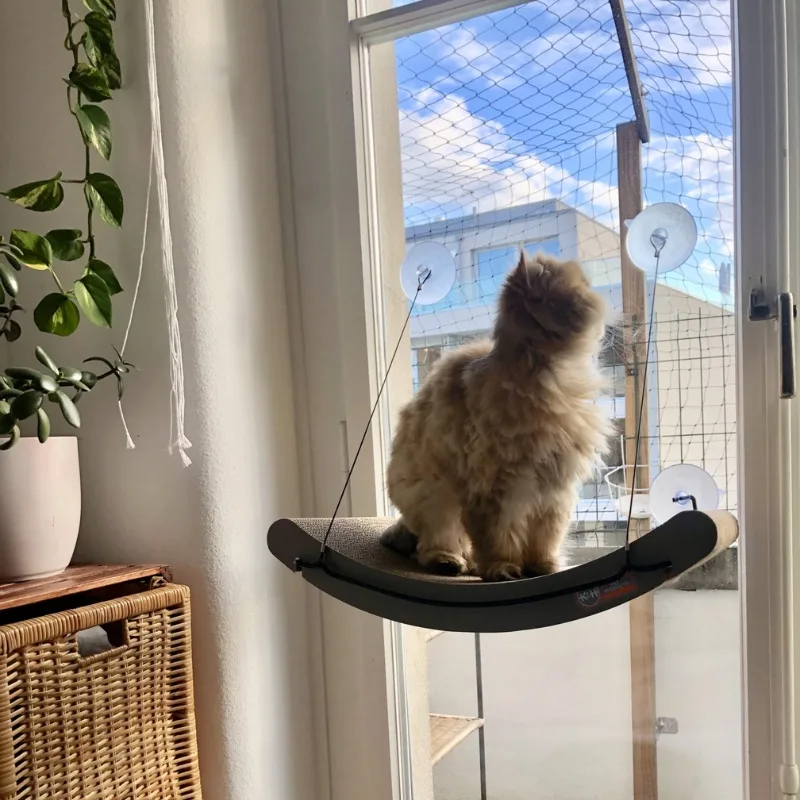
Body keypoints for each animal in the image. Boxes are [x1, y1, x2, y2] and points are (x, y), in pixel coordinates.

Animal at [382, 253, 612, 584]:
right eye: (579, 291)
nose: (599, 300)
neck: (548, 377)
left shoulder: (554, 491)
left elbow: (546, 537)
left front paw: (542, 566)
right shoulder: (496, 490)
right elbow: (499, 538)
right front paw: (502, 569)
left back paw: (471, 564)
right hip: (437, 499)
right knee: (434, 545)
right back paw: (450, 563)